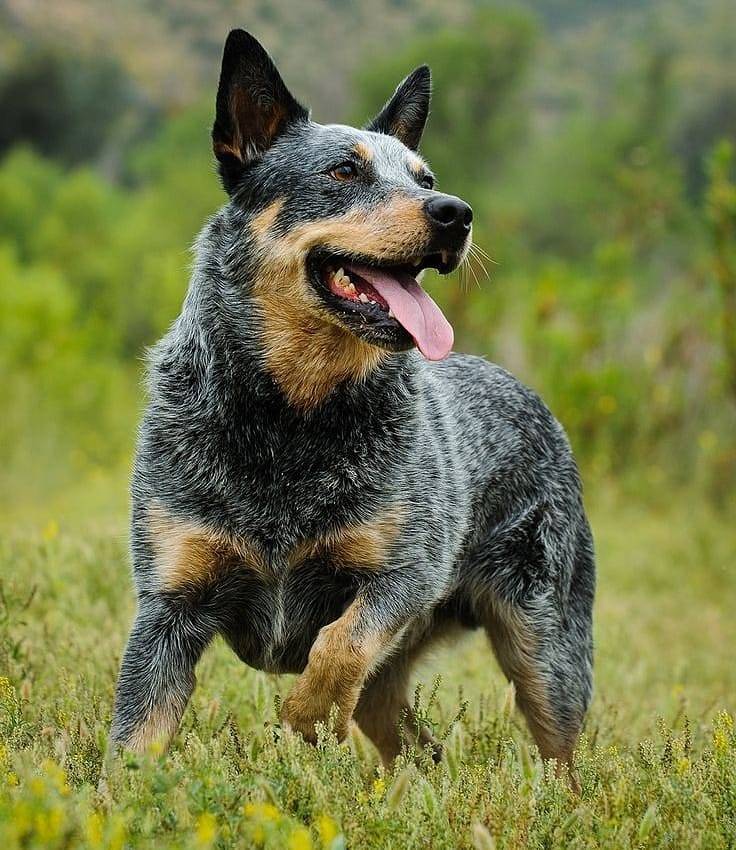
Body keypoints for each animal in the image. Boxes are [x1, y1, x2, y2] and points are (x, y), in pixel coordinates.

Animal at [110, 28, 592, 768]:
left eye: (425, 179)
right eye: (343, 171)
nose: (456, 213)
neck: (289, 416)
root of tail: (528, 392)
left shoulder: (404, 572)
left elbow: (340, 644)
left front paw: (304, 718)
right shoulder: (169, 601)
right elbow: (134, 745)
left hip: (545, 643)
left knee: (560, 754)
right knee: (418, 745)